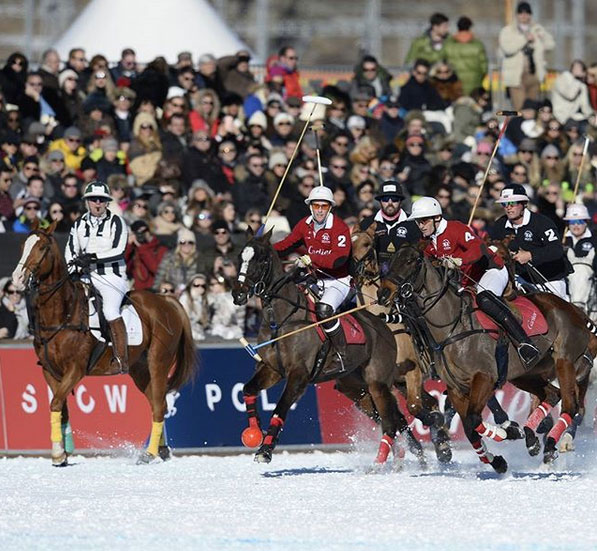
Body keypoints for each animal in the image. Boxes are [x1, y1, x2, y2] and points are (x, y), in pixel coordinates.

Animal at [9, 220, 196, 466]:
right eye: (23, 245)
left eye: (42, 248)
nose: (17, 279)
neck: (62, 313)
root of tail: (166, 300)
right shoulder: (50, 371)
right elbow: (60, 409)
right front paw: (62, 454)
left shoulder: (76, 369)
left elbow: (56, 404)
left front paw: (58, 455)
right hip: (139, 369)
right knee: (159, 404)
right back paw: (161, 450)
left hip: (158, 361)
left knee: (157, 405)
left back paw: (149, 454)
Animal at [230, 231, 426, 468]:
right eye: (240, 257)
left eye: (260, 260)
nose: (238, 295)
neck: (283, 319)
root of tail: (385, 326)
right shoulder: (272, 369)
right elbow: (248, 390)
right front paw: (254, 432)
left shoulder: (299, 375)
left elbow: (280, 408)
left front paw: (265, 450)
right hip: (357, 388)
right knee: (393, 417)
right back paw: (404, 455)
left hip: (377, 382)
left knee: (390, 421)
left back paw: (381, 463)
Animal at [352, 222, 450, 464]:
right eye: (349, 244)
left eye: (367, 243)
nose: (356, 270)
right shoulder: (389, 383)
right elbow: (399, 415)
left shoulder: (413, 371)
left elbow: (414, 408)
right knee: (430, 403)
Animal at [380, 244, 592, 472]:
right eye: (391, 260)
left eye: (412, 260)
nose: (383, 293)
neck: (451, 328)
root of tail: (575, 309)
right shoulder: (456, 389)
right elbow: (469, 427)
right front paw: (498, 458)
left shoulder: (484, 378)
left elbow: (473, 419)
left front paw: (505, 432)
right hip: (525, 373)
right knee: (552, 394)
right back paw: (531, 439)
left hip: (565, 360)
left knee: (571, 406)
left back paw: (552, 445)